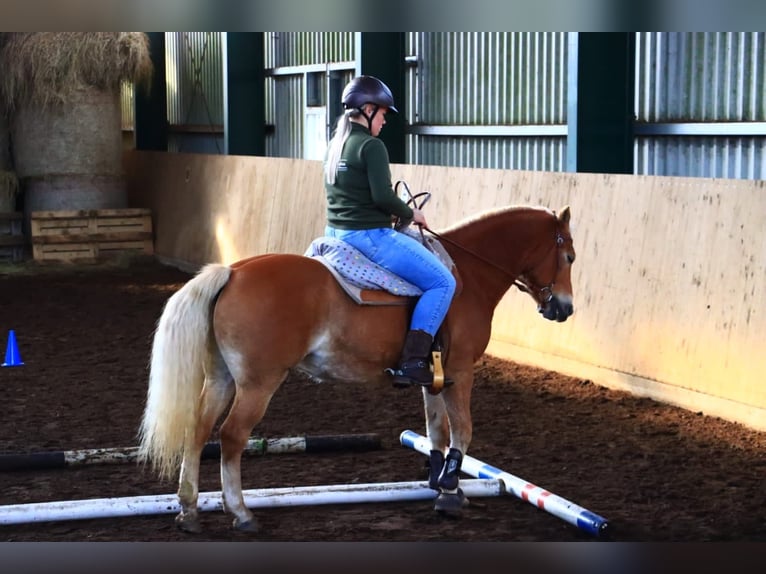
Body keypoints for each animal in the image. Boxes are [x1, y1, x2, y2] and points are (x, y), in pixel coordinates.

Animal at [141, 204, 580, 536]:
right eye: (569, 256)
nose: (564, 308)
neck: (467, 273)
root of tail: (233, 272)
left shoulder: (434, 377)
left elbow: (437, 430)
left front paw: (441, 485)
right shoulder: (461, 371)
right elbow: (463, 430)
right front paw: (451, 488)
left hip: (222, 378)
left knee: (198, 431)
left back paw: (189, 510)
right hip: (258, 383)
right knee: (232, 437)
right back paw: (241, 513)